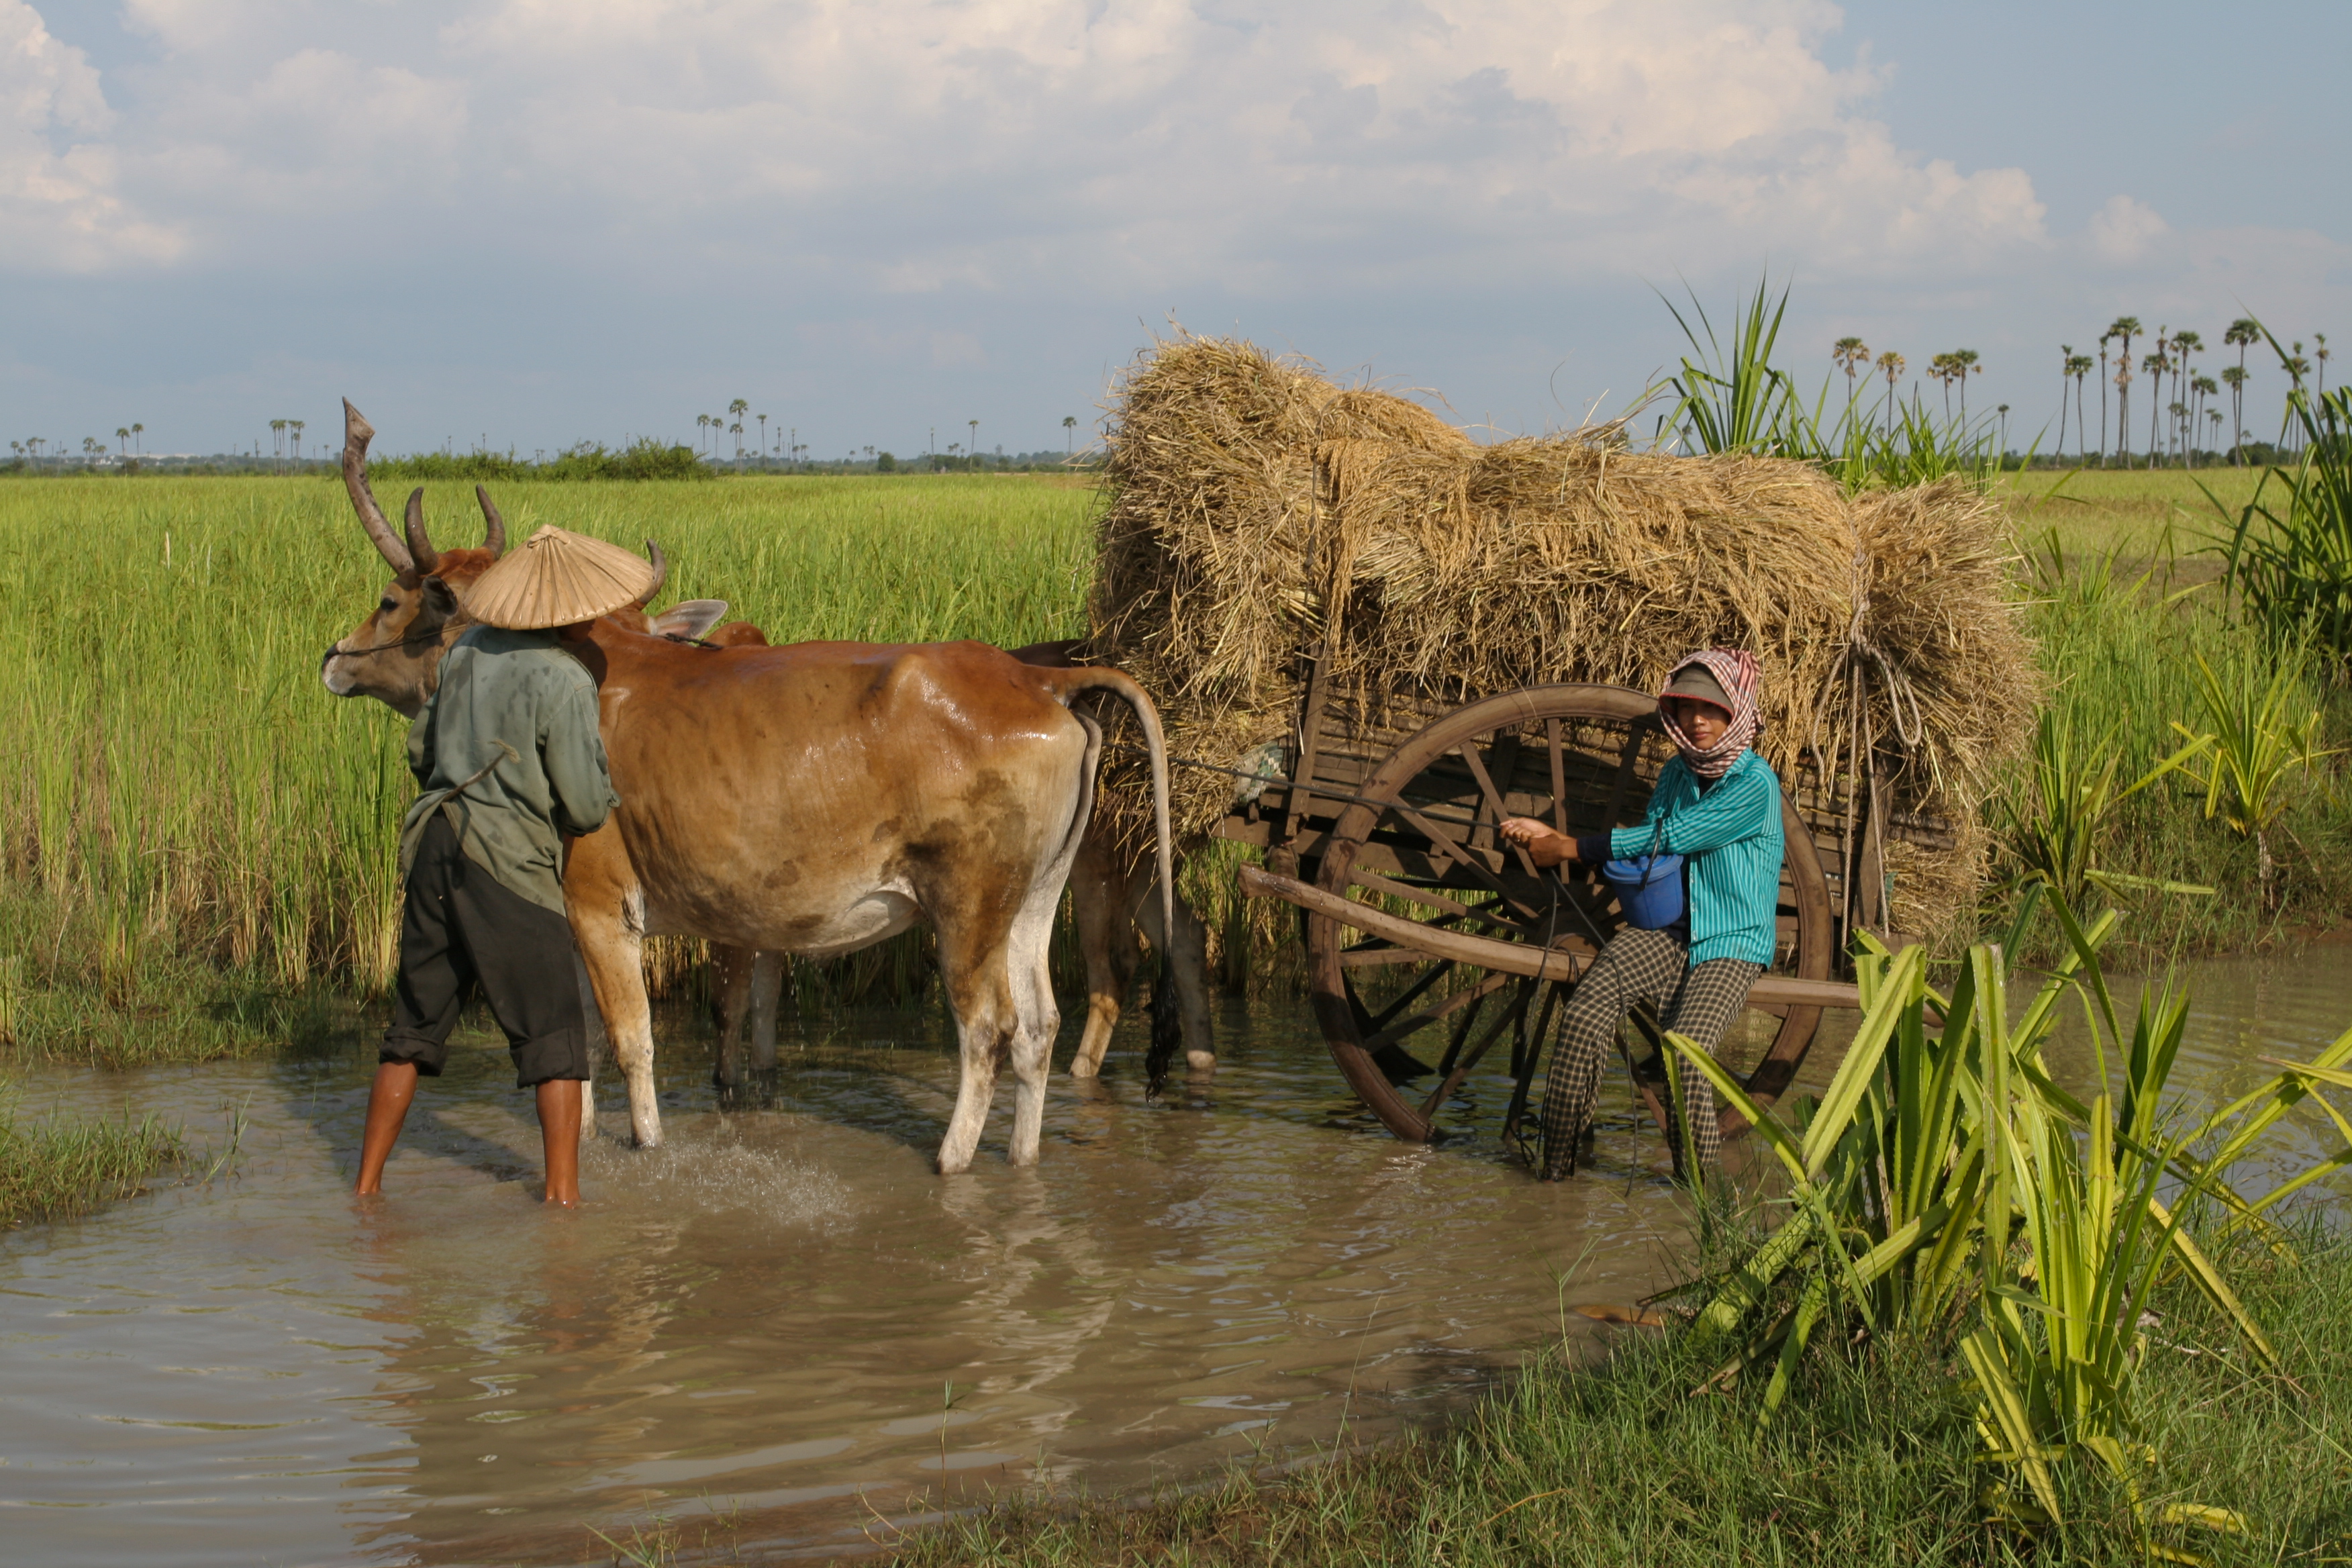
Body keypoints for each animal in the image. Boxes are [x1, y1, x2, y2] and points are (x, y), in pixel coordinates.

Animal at [321, 402, 1174, 1173]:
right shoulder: (571, 917)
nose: (334, 657)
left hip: (968, 909)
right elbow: (582, 1038)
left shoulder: (601, 907)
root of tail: (1037, 679)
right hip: (1035, 899)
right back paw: (1023, 1156)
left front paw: (647, 1144)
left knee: (988, 1029)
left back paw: (953, 1159)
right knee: (1039, 1027)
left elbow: (631, 1040)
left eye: (391, 600)